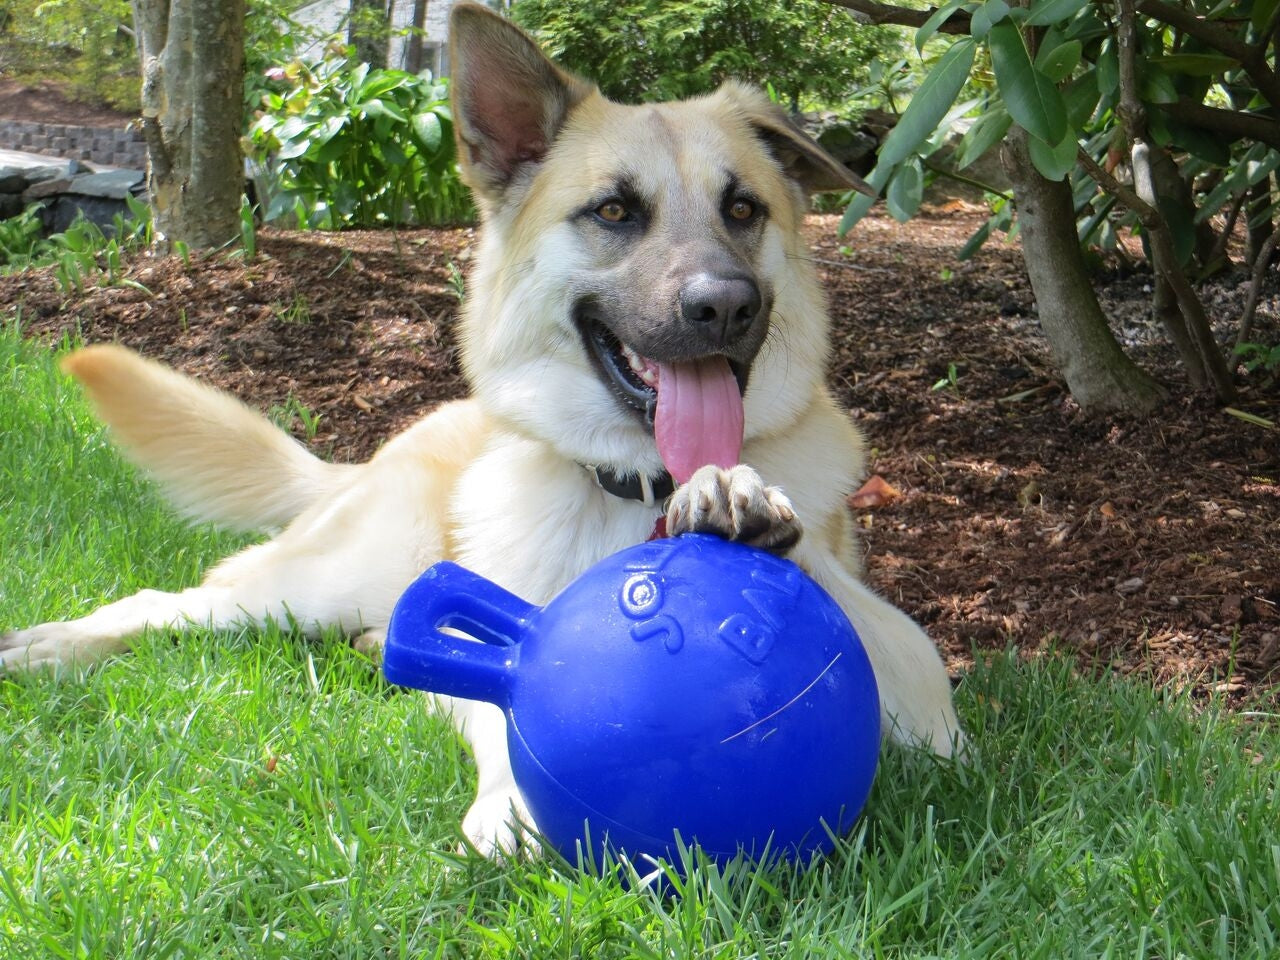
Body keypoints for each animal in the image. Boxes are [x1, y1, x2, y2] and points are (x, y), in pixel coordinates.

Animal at [0, 0, 962, 855]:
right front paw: (511, 803)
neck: (636, 488)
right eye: (614, 212)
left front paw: (743, 502)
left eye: (743, 209)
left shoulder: (926, 692)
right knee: (171, 603)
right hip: (323, 579)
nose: (723, 306)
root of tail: (368, 457)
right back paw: (55, 646)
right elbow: (501, 703)